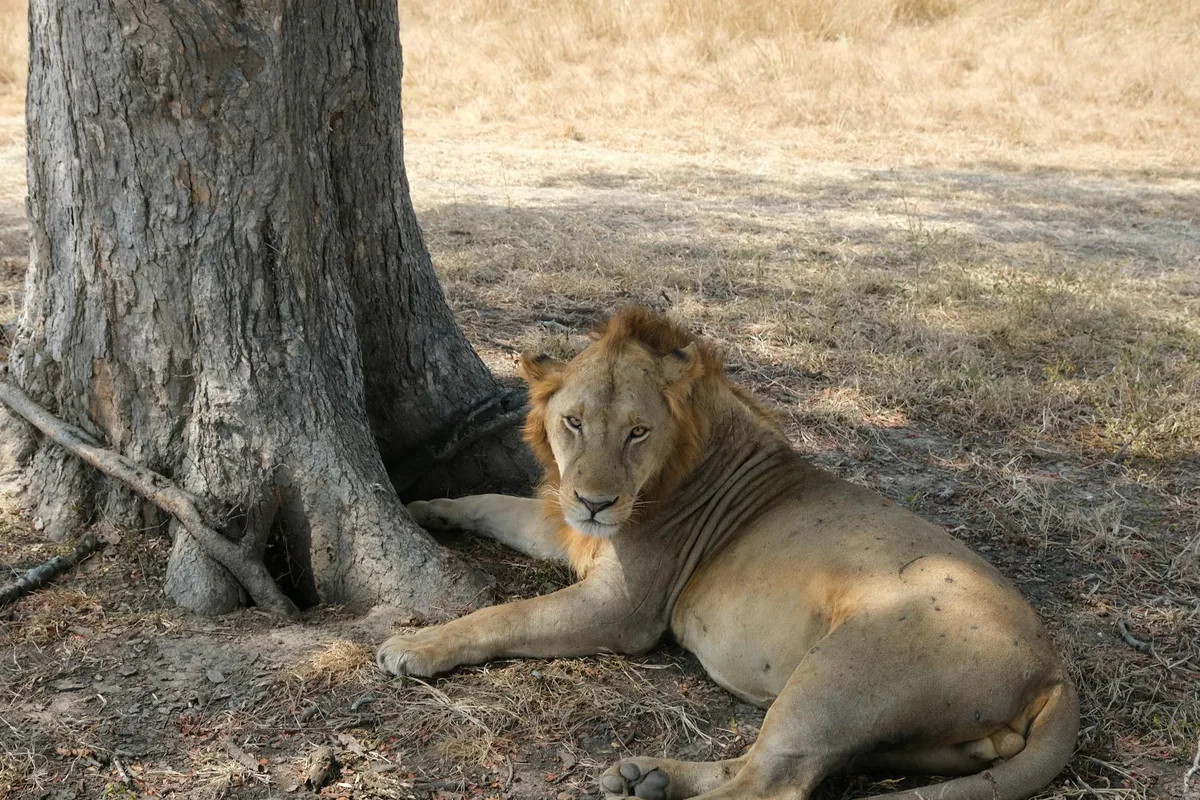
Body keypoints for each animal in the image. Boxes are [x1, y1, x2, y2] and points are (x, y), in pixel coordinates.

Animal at [376, 307, 1078, 800]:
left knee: (771, 784)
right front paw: (425, 509)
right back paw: (645, 777)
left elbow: (504, 615)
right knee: (779, 764)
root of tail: (1054, 668)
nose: (596, 503)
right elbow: (490, 502)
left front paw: (415, 644)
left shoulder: (622, 610)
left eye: (637, 432)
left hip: (841, 670)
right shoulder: (572, 530)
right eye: (573, 422)